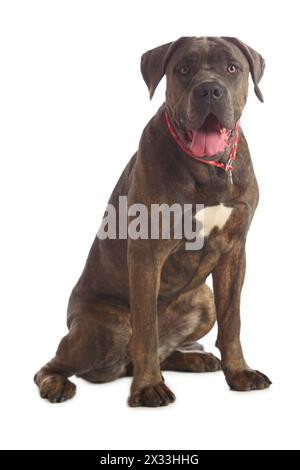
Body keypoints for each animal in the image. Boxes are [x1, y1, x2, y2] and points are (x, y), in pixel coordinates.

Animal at [34, 36, 272, 406]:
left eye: (232, 68)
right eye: (183, 69)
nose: (209, 90)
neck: (209, 169)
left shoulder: (234, 251)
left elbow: (232, 321)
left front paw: (239, 373)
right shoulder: (147, 252)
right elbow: (146, 330)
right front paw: (147, 388)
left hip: (203, 300)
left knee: (166, 348)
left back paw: (195, 358)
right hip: (106, 326)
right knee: (54, 364)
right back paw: (56, 384)